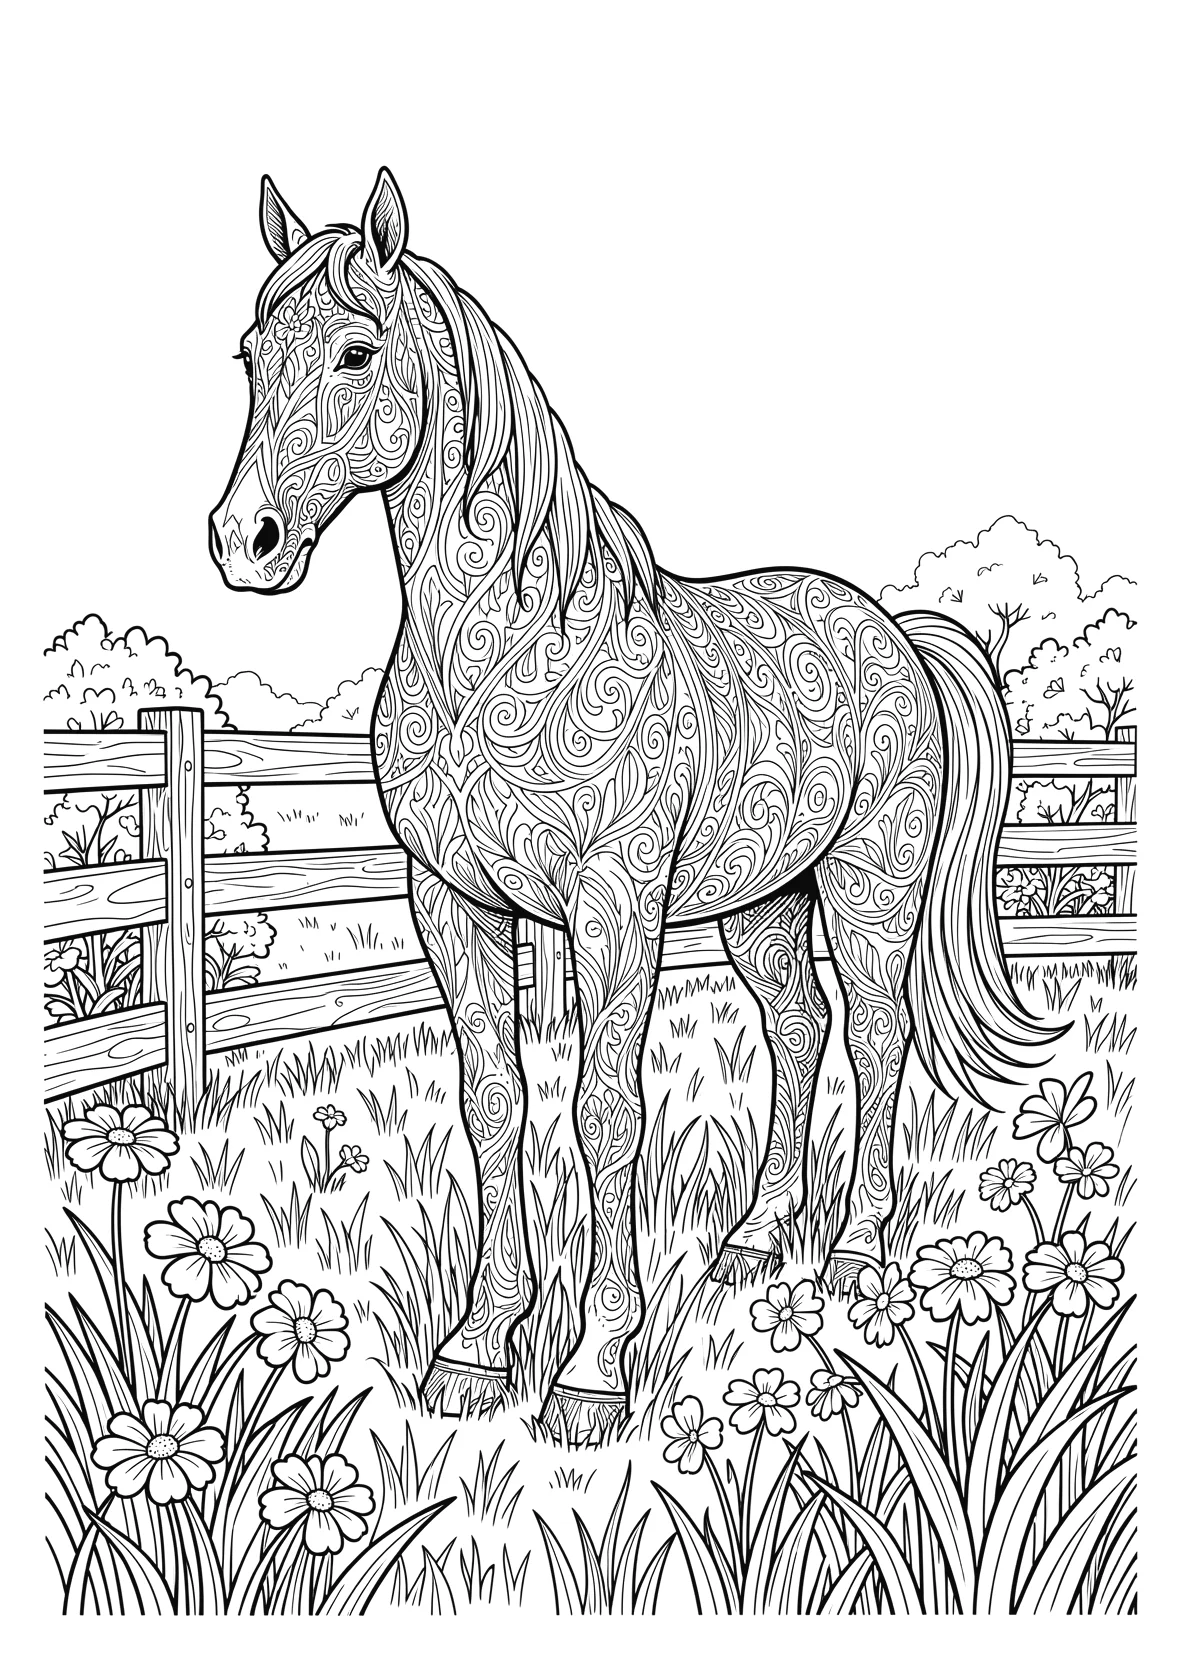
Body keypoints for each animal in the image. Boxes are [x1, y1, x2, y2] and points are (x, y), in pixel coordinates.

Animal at [209, 168, 1057, 1444]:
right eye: (252, 355)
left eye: (357, 351)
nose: (243, 542)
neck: (502, 653)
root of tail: (891, 632)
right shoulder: (450, 902)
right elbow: (495, 1103)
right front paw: (477, 1346)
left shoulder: (612, 909)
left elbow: (607, 1113)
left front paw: (591, 1367)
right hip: (764, 902)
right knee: (797, 1028)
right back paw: (754, 1235)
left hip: (868, 891)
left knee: (871, 1032)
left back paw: (855, 1251)